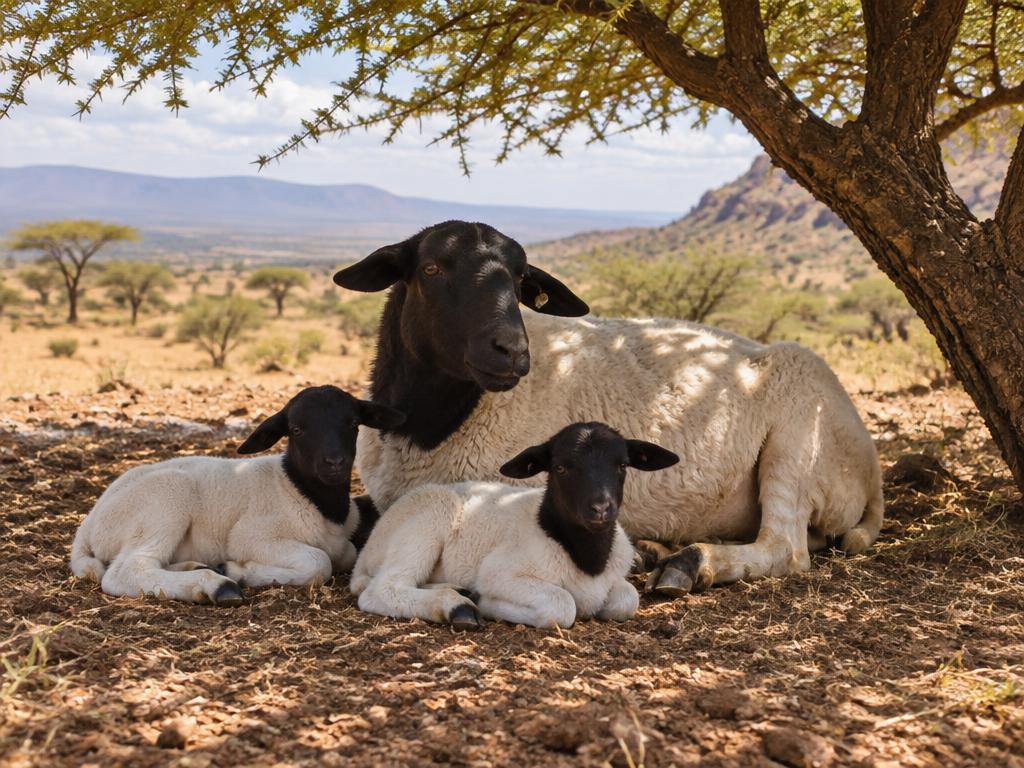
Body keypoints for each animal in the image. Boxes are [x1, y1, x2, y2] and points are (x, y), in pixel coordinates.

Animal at [69, 386, 404, 605]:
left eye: (353, 423)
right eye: (296, 429)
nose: (335, 462)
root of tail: (88, 524)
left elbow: (346, 553)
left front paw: (231, 568)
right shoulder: (252, 536)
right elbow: (319, 561)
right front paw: (243, 572)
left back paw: (201, 568)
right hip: (165, 501)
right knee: (127, 570)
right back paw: (214, 585)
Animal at [334, 220, 884, 597]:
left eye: (520, 281)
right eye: (430, 269)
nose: (512, 350)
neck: (433, 425)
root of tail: (871, 468)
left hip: (796, 438)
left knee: (786, 549)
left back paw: (690, 564)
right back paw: (659, 550)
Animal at [351, 422, 679, 629]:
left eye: (622, 465)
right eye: (560, 467)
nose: (601, 508)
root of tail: (366, 554)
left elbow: (628, 598)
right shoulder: (501, 572)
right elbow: (561, 605)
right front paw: (487, 603)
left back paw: (458, 591)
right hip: (426, 521)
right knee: (383, 588)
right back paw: (458, 606)